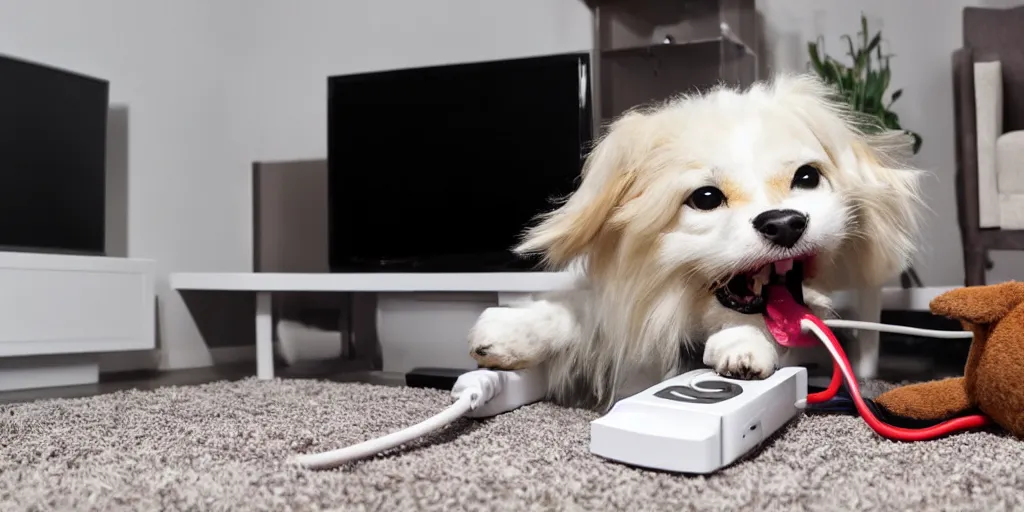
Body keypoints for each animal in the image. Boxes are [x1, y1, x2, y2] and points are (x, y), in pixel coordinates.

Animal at [468, 74, 925, 411]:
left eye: (807, 177)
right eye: (705, 198)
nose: (783, 223)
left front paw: (744, 349)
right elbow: (579, 311)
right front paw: (511, 332)